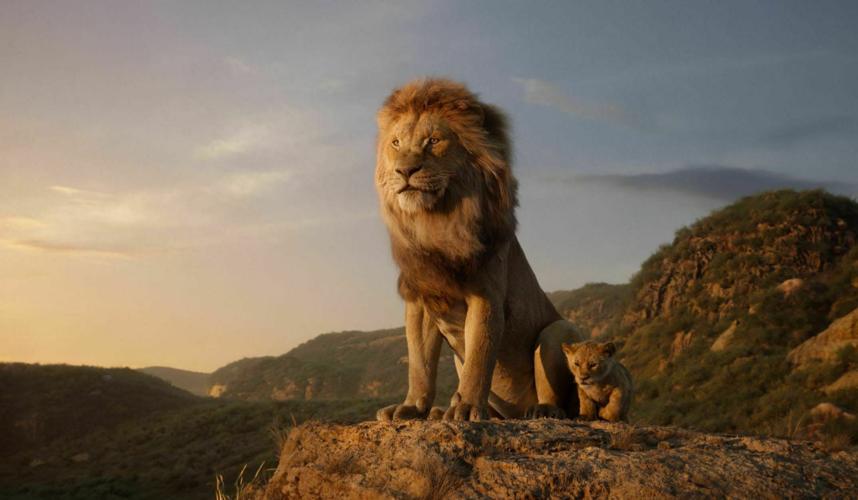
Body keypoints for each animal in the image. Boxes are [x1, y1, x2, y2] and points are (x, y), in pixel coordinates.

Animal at [373, 78, 586, 421]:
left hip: (558, 330)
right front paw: (412, 407)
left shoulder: (486, 295)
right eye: (395, 143)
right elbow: (420, 364)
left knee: (560, 399)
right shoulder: (421, 298)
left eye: (433, 141)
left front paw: (467, 408)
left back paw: (541, 410)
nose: (404, 171)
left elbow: (479, 357)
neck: (436, 222)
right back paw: (441, 411)